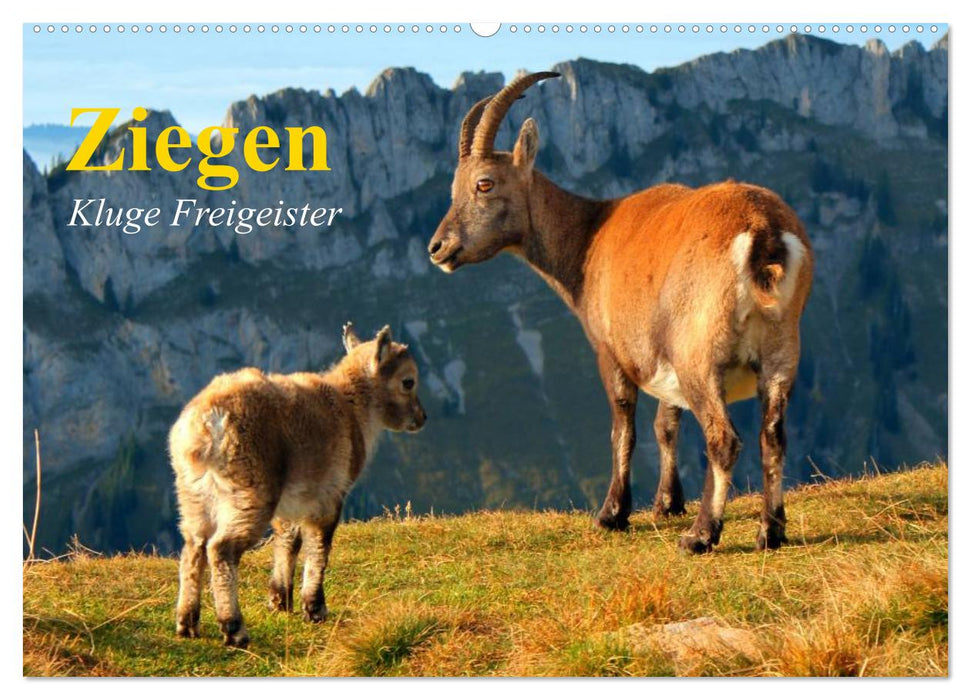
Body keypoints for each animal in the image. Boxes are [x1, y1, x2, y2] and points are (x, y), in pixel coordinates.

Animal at [170, 323, 426, 646]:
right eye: (408, 381)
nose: (422, 418)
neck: (352, 408)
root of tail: (206, 425)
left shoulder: (292, 502)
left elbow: (288, 541)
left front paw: (280, 601)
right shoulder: (328, 496)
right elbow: (319, 547)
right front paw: (315, 608)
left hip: (193, 494)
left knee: (194, 546)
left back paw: (187, 623)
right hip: (250, 492)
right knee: (221, 548)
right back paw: (234, 628)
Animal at [428, 72, 813, 554]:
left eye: (484, 183)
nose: (438, 248)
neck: (588, 239)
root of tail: (764, 235)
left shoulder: (612, 352)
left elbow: (623, 428)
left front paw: (613, 514)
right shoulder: (660, 355)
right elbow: (666, 423)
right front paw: (667, 503)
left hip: (700, 353)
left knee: (723, 438)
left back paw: (701, 535)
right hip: (781, 350)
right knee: (773, 435)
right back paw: (770, 531)